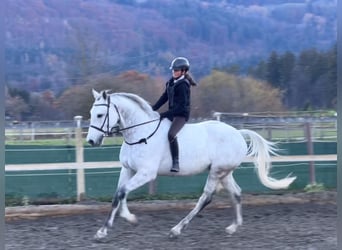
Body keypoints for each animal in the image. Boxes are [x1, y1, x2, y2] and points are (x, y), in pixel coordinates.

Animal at [86, 90, 296, 240]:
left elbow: (121, 192)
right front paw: (129, 219)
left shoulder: (146, 173)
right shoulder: (128, 169)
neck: (140, 133)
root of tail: (238, 133)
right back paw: (233, 227)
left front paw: (104, 230)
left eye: (100, 114)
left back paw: (176, 230)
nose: (91, 141)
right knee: (236, 193)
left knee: (206, 198)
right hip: (224, 173)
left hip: (216, 172)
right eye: (91, 113)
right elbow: (119, 194)